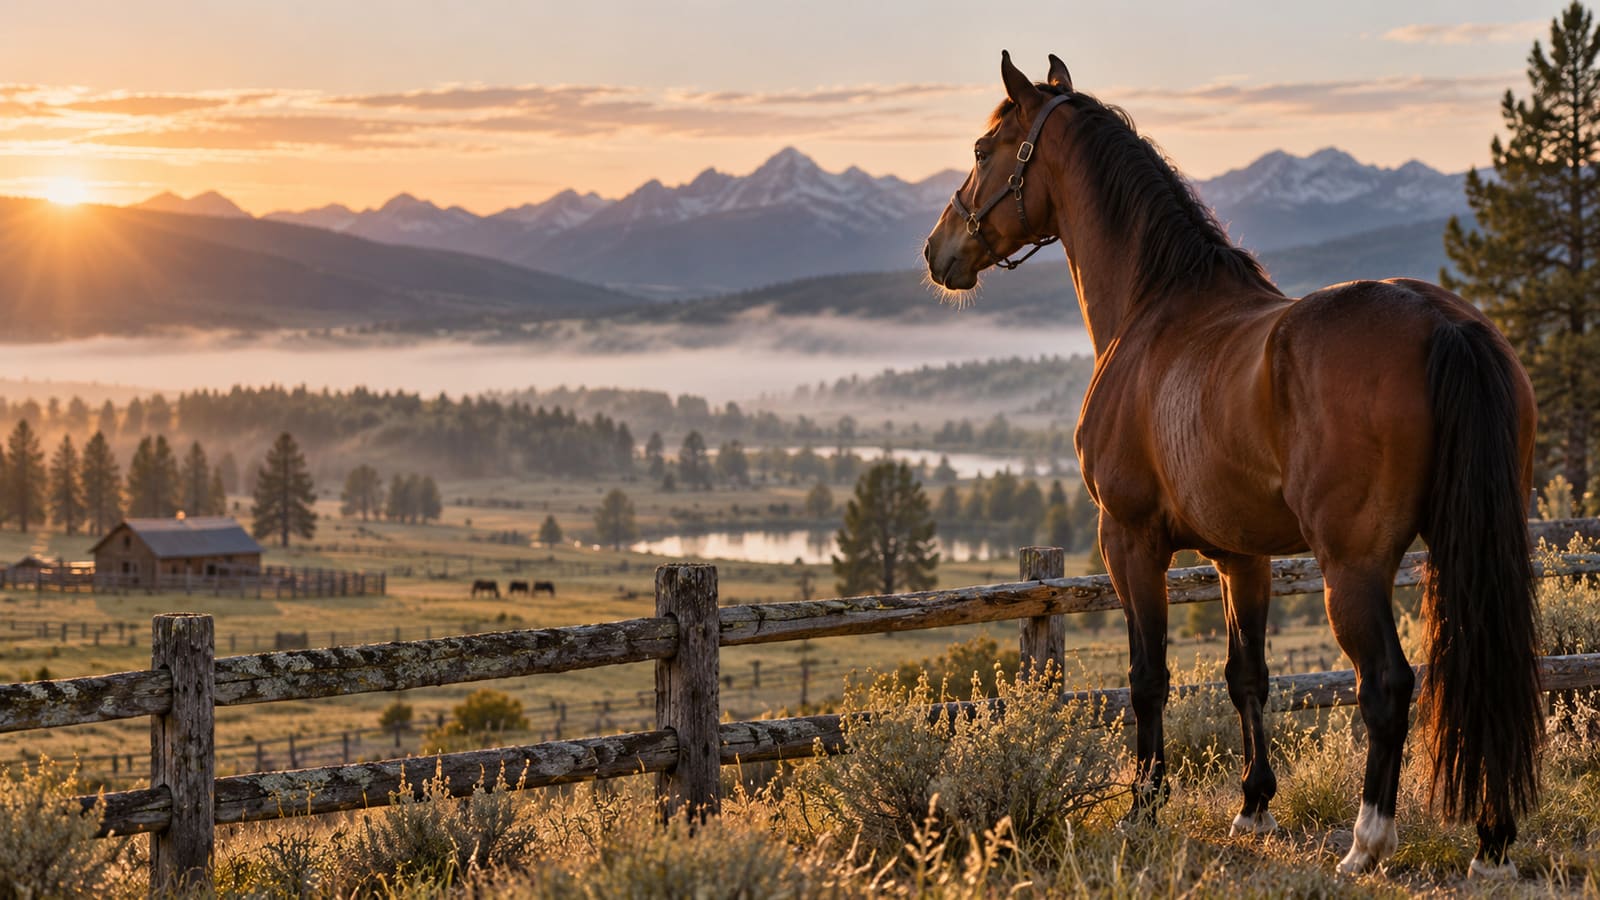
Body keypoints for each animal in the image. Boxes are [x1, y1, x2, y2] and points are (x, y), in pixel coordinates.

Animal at [924, 52, 1542, 879]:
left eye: (983, 150)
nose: (938, 252)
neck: (1156, 310)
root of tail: (1446, 323)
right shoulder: (1239, 557)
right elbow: (1247, 676)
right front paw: (1254, 805)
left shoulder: (1130, 541)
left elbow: (1148, 678)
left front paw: (1143, 808)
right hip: (1465, 547)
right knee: (1483, 668)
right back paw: (1492, 841)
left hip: (1354, 566)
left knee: (1387, 683)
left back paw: (1366, 844)